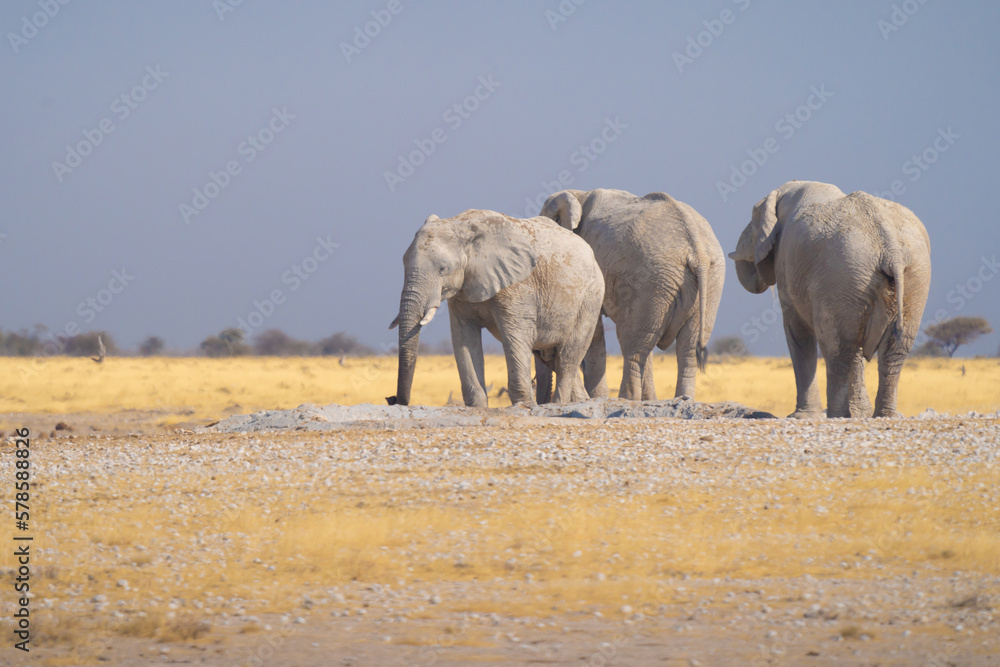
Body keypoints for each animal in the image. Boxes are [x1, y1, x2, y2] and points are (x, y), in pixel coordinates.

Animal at [387, 209, 605, 407]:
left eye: (442, 269)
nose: (393, 399)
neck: (461, 224)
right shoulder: (462, 291)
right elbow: (464, 338)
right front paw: (478, 408)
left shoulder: (517, 286)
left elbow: (515, 337)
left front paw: (525, 406)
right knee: (552, 358)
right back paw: (581, 403)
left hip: (590, 299)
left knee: (568, 356)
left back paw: (559, 405)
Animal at [540, 188, 726, 401]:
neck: (578, 194)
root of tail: (698, 252)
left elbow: (595, 331)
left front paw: (598, 398)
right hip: (703, 282)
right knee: (683, 348)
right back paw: (682, 399)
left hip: (654, 278)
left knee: (634, 347)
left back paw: (627, 399)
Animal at [729, 180, 931, 418]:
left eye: (753, 218)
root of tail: (890, 247)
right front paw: (860, 413)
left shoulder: (786, 266)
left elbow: (797, 331)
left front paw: (800, 416)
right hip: (912, 275)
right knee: (892, 349)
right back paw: (884, 415)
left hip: (843, 275)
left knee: (837, 348)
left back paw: (838, 415)